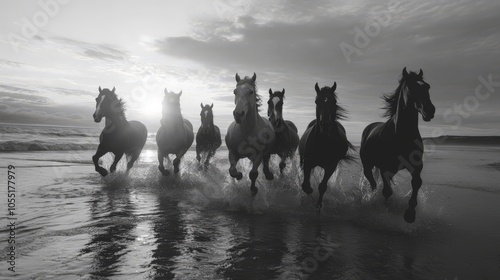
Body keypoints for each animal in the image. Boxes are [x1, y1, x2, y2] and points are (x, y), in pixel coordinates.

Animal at [298, 82, 354, 211]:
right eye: (316, 101)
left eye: (334, 101)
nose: (325, 124)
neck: (324, 141)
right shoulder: (308, 161)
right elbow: (305, 184)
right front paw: (309, 190)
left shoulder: (331, 166)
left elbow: (323, 186)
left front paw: (318, 206)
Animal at [362, 68, 436, 223]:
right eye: (411, 87)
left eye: (427, 86)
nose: (429, 110)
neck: (402, 135)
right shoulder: (385, 168)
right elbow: (386, 191)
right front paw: (386, 208)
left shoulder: (416, 166)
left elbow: (416, 183)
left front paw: (410, 214)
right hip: (368, 165)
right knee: (373, 183)